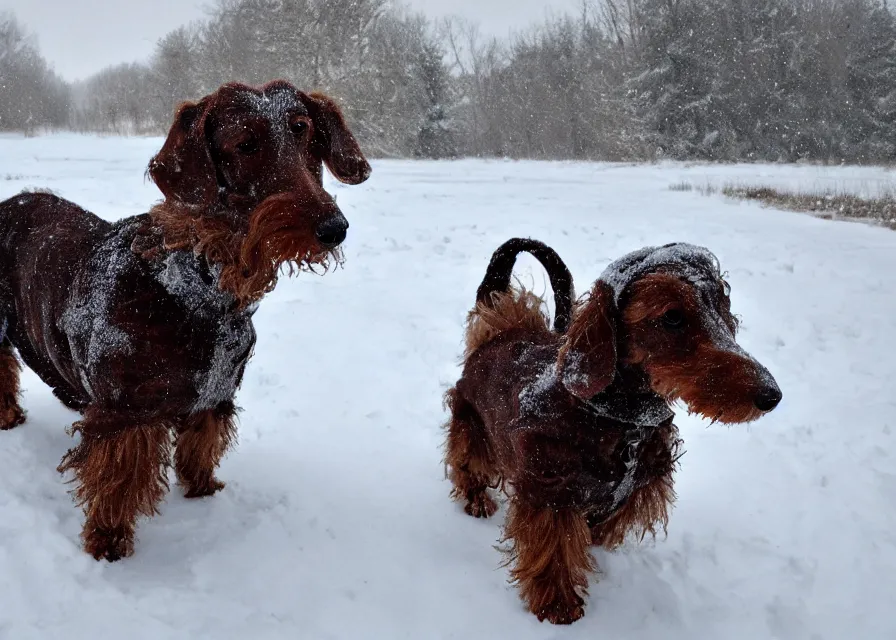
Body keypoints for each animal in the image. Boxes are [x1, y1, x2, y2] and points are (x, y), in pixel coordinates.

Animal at [0, 80, 372, 560]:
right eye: (245, 143)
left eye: (303, 130)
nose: (334, 228)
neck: (198, 288)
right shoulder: (120, 415)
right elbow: (115, 483)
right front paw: (108, 542)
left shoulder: (215, 395)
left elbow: (200, 447)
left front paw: (203, 492)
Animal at [444, 238, 780, 624]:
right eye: (672, 316)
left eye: (723, 308)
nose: (772, 395)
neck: (622, 423)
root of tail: (500, 327)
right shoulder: (550, 494)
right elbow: (553, 550)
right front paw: (559, 606)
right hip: (473, 428)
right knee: (466, 463)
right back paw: (476, 499)